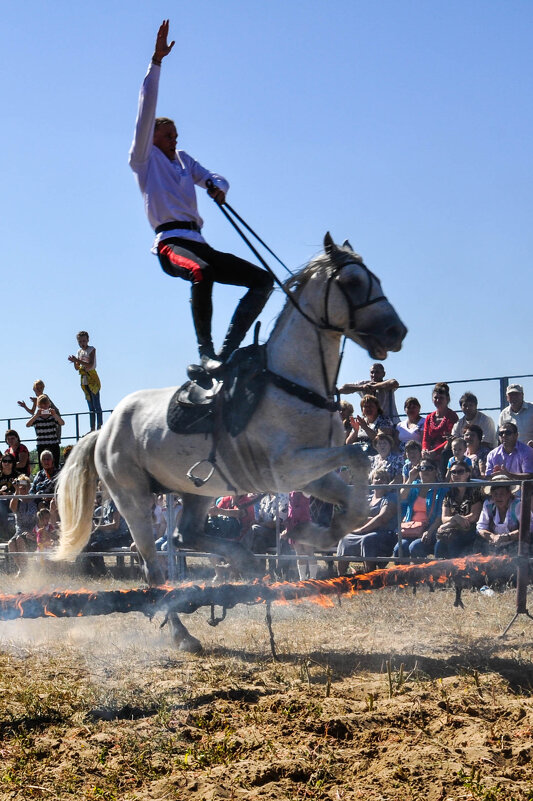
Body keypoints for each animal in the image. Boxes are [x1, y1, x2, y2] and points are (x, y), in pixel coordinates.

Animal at [55, 233, 404, 648]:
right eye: (351, 282)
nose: (396, 332)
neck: (291, 382)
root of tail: (103, 429)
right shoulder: (288, 468)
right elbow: (357, 458)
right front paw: (311, 534)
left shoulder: (313, 473)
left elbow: (356, 495)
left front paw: (311, 534)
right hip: (133, 500)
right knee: (154, 568)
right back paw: (182, 633)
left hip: (195, 491)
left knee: (185, 533)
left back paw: (242, 559)